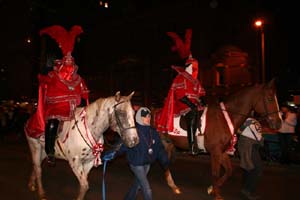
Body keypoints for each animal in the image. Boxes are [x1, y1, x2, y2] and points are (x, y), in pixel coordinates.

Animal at [154, 79, 282, 199]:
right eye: (270, 98)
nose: (279, 123)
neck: (224, 118)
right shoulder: (215, 152)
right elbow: (215, 173)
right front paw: (217, 195)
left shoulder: (222, 152)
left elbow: (229, 171)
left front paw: (212, 189)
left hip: (167, 144)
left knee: (165, 162)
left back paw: (172, 185)